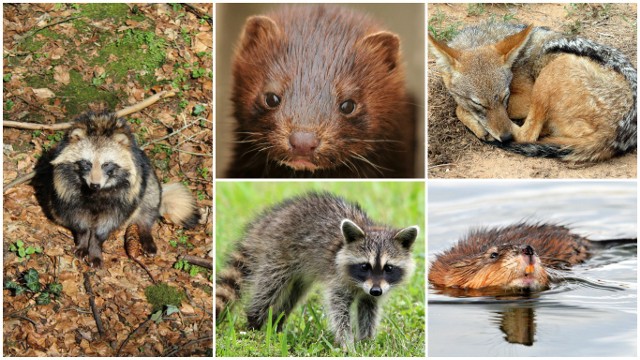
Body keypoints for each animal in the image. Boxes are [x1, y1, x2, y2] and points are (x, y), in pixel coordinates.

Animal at [46, 112, 200, 268]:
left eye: (106, 164)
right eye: (87, 163)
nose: (95, 185)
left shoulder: (124, 196)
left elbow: (105, 226)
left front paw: (95, 249)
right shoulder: (67, 189)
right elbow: (79, 221)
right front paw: (83, 243)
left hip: (149, 182)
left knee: (149, 203)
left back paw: (145, 231)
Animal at [216, 193, 420, 348]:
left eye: (388, 268)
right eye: (364, 266)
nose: (376, 290)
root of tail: (270, 219)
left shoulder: (372, 291)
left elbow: (368, 309)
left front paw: (366, 341)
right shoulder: (338, 279)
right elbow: (338, 309)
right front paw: (347, 343)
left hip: (299, 273)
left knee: (293, 295)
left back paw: (276, 323)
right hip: (277, 252)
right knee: (269, 287)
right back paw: (255, 321)